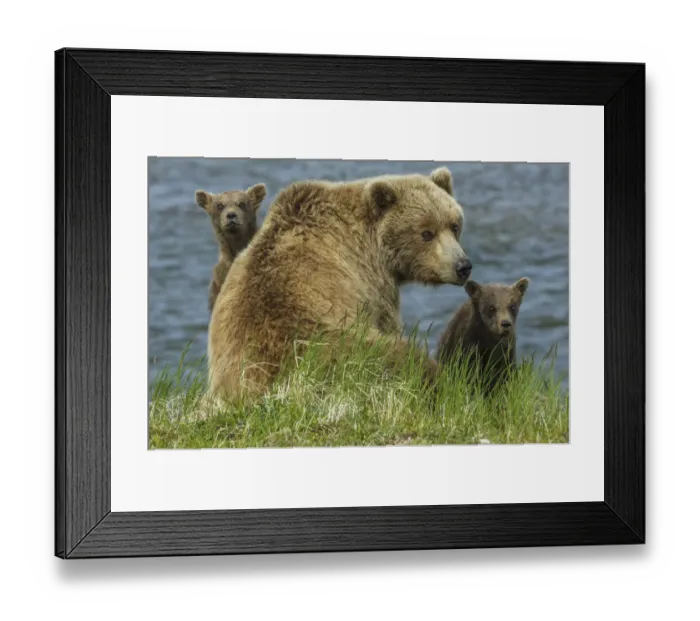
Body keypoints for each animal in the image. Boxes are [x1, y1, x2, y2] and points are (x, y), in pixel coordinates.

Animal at [208, 167, 473, 399]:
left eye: (454, 225)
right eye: (426, 233)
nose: (462, 266)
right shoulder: (372, 285)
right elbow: (388, 322)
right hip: (335, 350)